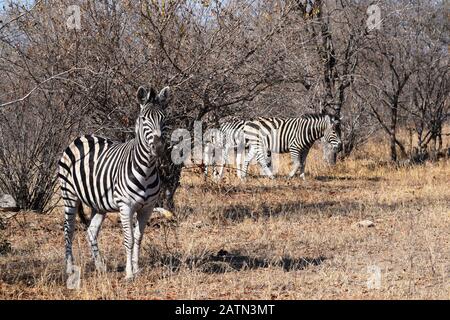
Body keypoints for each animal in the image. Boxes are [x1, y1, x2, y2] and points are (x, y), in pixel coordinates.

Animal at [59, 85, 171, 280]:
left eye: (163, 118)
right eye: (144, 119)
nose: (158, 148)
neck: (147, 169)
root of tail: (80, 137)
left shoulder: (147, 208)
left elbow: (138, 238)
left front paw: (137, 269)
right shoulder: (126, 206)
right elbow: (129, 239)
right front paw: (129, 273)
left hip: (98, 204)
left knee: (91, 231)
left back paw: (100, 266)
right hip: (69, 196)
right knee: (69, 230)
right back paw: (70, 268)